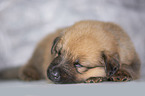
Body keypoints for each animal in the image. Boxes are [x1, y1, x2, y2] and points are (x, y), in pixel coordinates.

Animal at [0, 20, 140, 83]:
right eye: (59, 53)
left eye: (78, 64)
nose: (51, 72)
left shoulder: (133, 59)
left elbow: (130, 67)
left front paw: (121, 73)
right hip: (37, 55)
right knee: (30, 63)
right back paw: (29, 73)